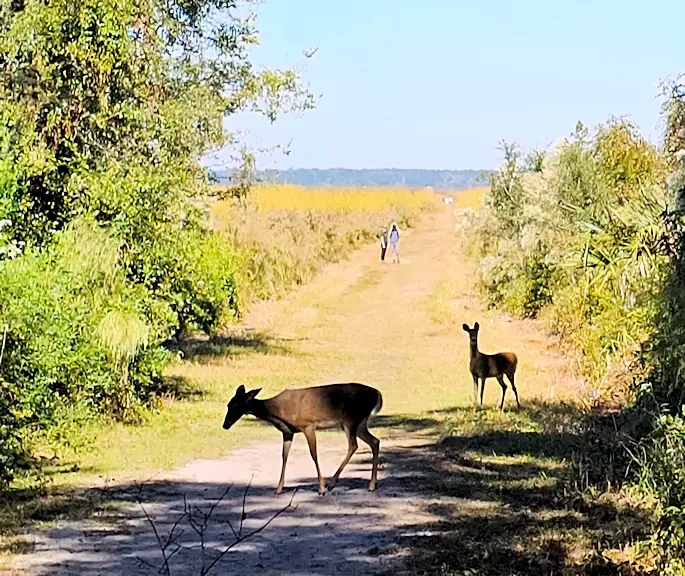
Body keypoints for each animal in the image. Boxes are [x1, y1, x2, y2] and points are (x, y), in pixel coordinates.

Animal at [222, 383, 382, 495]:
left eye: (235, 404)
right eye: (228, 404)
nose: (225, 425)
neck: (277, 411)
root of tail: (377, 393)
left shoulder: (308, 425)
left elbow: (313, 454)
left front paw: (321, 488)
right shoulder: (287, 433)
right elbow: (284, 456)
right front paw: (278, 488)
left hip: (350, 420)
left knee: (353, 445)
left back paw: (332, 483)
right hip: (360, 423)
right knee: (374, 441)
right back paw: (371, 485)